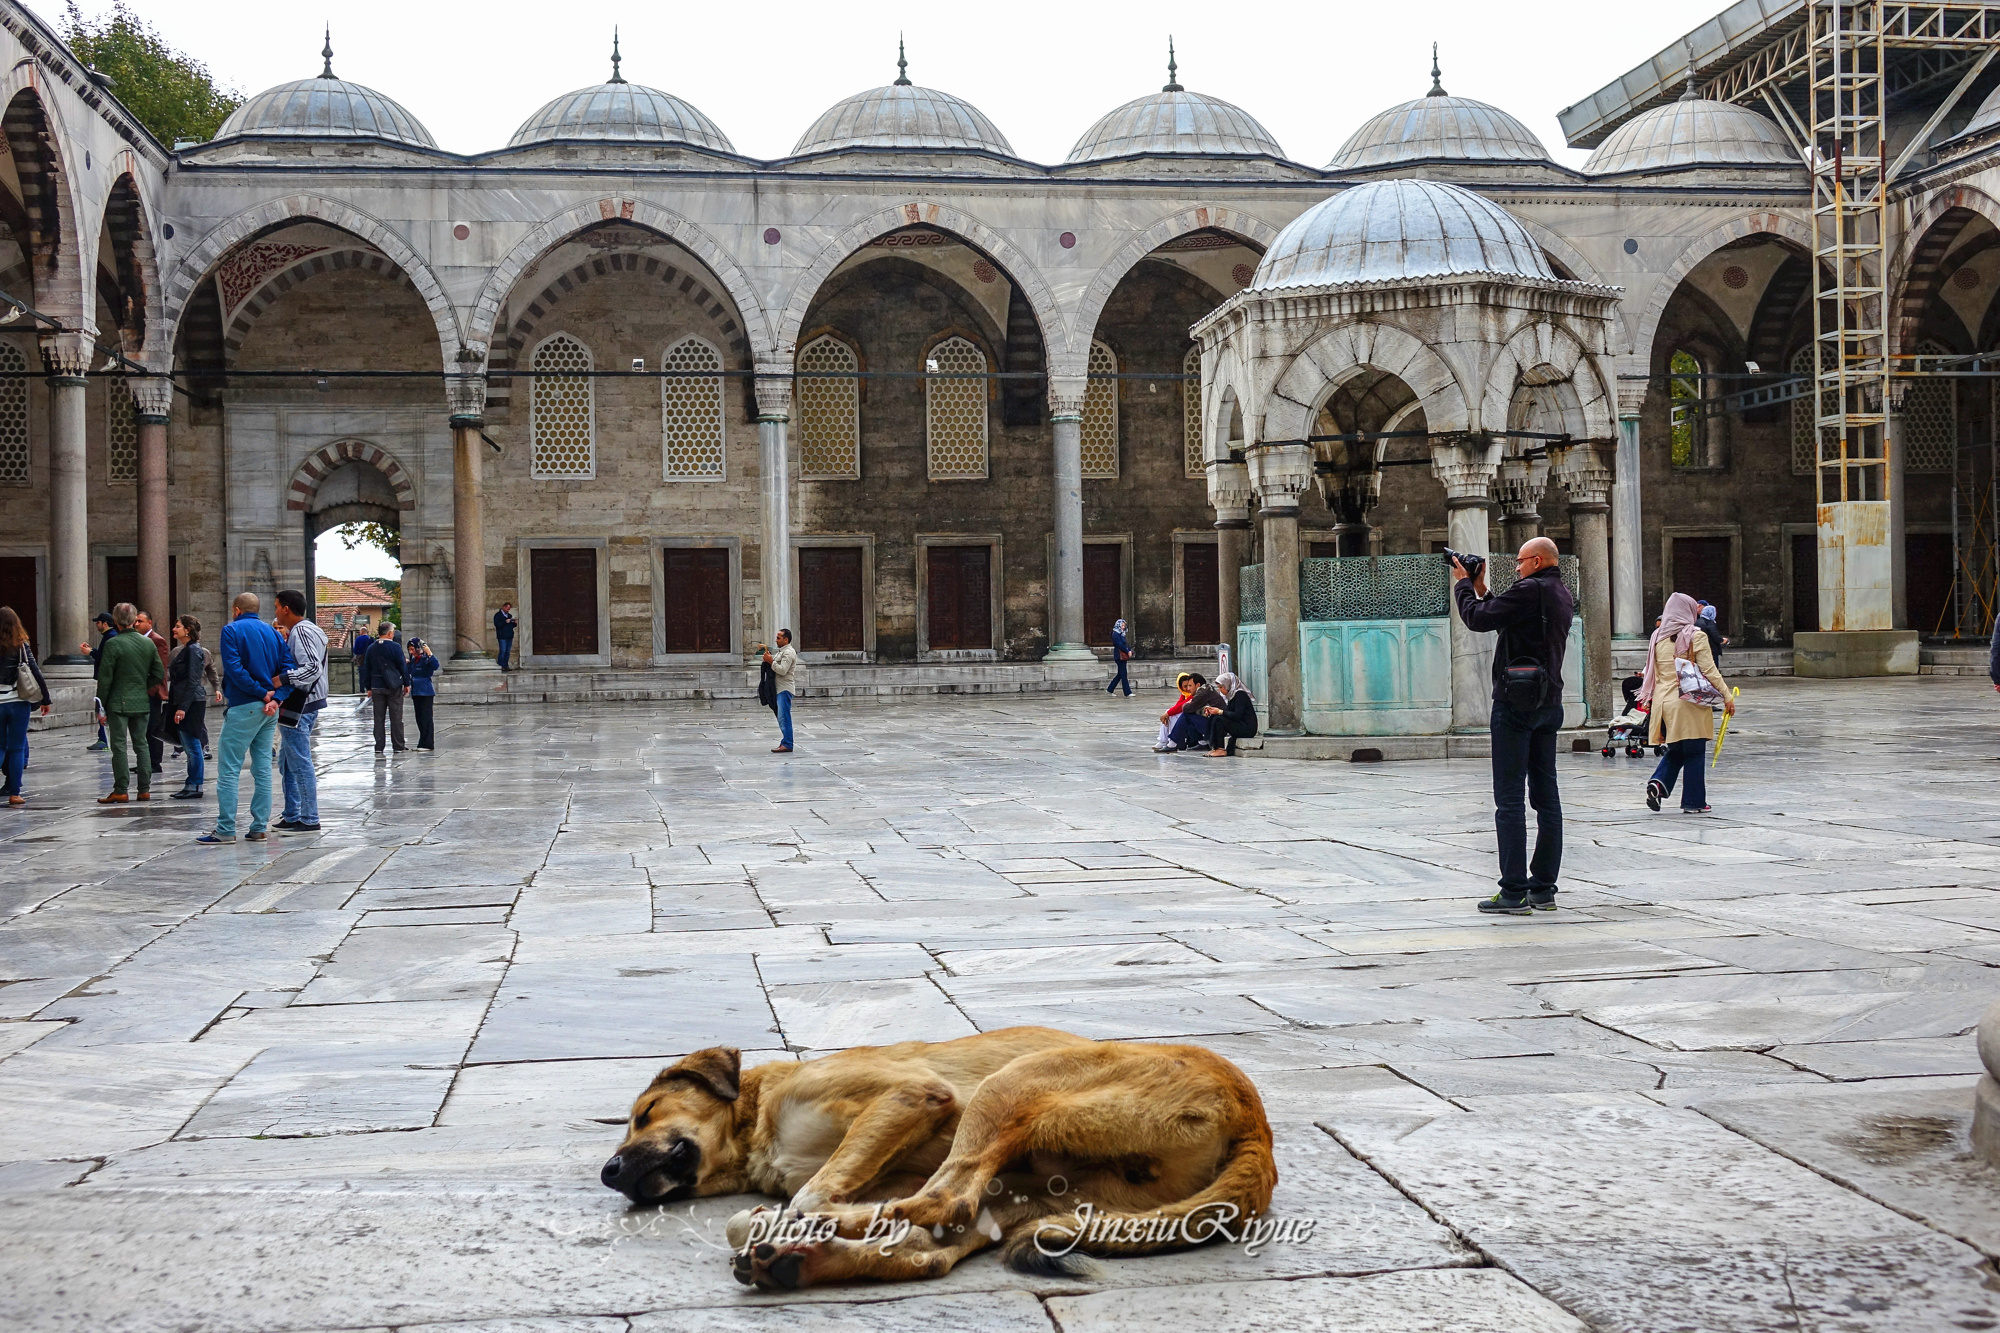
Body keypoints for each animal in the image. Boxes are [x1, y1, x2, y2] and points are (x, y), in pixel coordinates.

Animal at [600, 1020, 1272, 1280]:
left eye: (645, 1114)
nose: (609, 1171)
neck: (758, 1129)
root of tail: (1254, 1122)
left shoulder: (910, 1094)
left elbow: (814, 1190)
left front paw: (795, 1215)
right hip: (1031, 1190)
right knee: (934, 1248)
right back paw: (799, 1261)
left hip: (1013, 1086)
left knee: (944, 1199)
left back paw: (805, 1236)